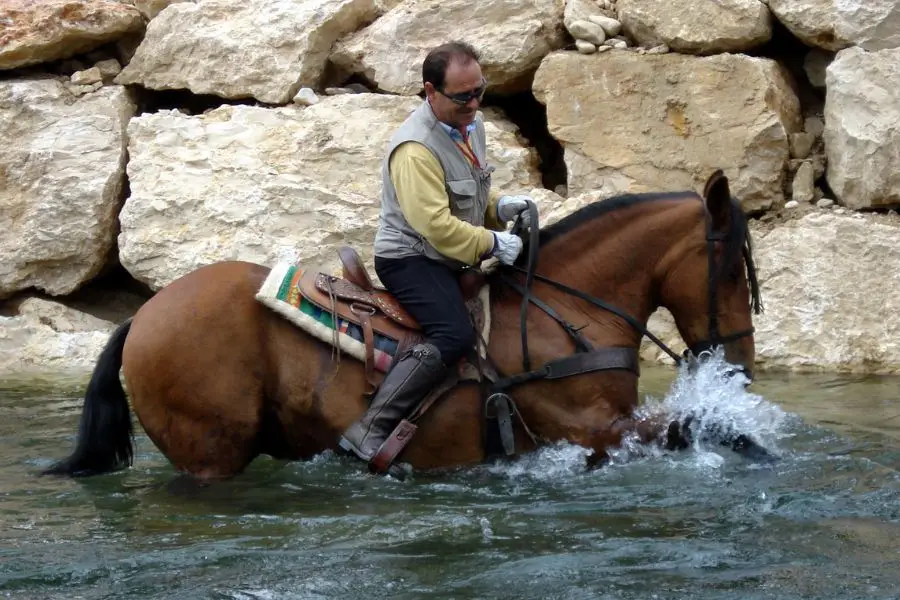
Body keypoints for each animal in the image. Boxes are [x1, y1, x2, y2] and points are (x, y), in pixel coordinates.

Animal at [43, 170, 763, 482]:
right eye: (732, 270)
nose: (741, 367)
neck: (561, 316)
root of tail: (143, 314)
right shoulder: (592, 430)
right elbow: (692, 426)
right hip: (209, 455)